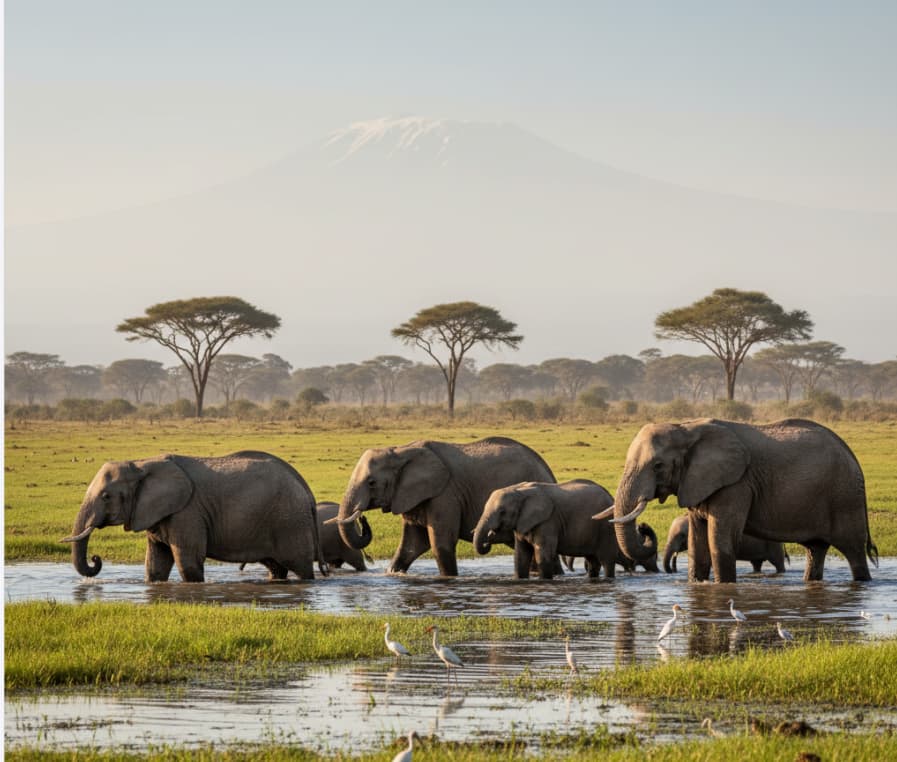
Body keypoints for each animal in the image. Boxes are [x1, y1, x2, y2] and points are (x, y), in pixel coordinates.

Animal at [61, 451, 326, 582]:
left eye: (106, 496)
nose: (96, 559)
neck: (142, 463)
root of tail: (307, 491)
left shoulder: (187, 511)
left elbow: (187, 560)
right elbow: (155, 564)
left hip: (290, 522)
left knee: (301, 567)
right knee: (276, 567)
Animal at [333, 436, 555, 576]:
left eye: (371, 483)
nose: (363, 518)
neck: (401, 451)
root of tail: (547, 470)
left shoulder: (445, 494)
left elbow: (440, 543)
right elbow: (411, 545)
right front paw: (392, 574)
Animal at [473, 479, 658, 579]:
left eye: (502, 512)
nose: (489, 537)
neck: (520, 490)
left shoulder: (548, 521)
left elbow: (542, 554)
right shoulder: (522, 522)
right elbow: (521, 556)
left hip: (605, 528)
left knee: (606, 561)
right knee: (593, 562)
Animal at [604, 418, 878, 583]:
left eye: (658, 465)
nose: (643, 527)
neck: (687, 427)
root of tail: (852, 456)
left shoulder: (736, 484)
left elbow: (719, 541)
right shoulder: (696, 481)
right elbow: (697, 544)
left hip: (845, 498)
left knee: (854, 552)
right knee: (816, 550)